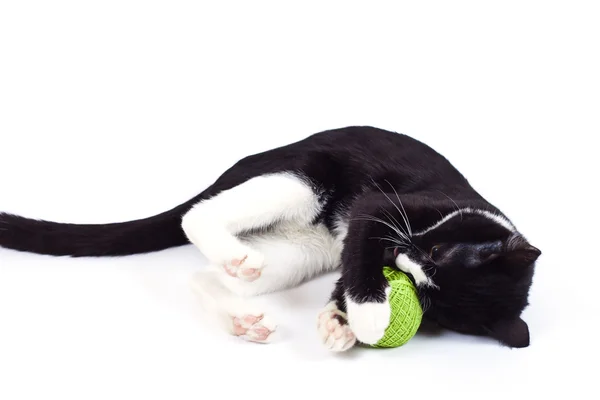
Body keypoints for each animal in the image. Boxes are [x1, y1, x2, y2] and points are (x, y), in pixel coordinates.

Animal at [0, 125, 540, 350]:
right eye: (435, 250)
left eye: (428, 299)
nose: (399, 255)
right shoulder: (383, 209)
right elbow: (363, 250)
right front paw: (366, 317)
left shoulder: (363, 242)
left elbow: (350, 269)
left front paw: (338, 324)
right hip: (303, 176)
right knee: (195, 215)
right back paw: (228, 249)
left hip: (303, 250)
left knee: (205, 277)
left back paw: (239, 309)